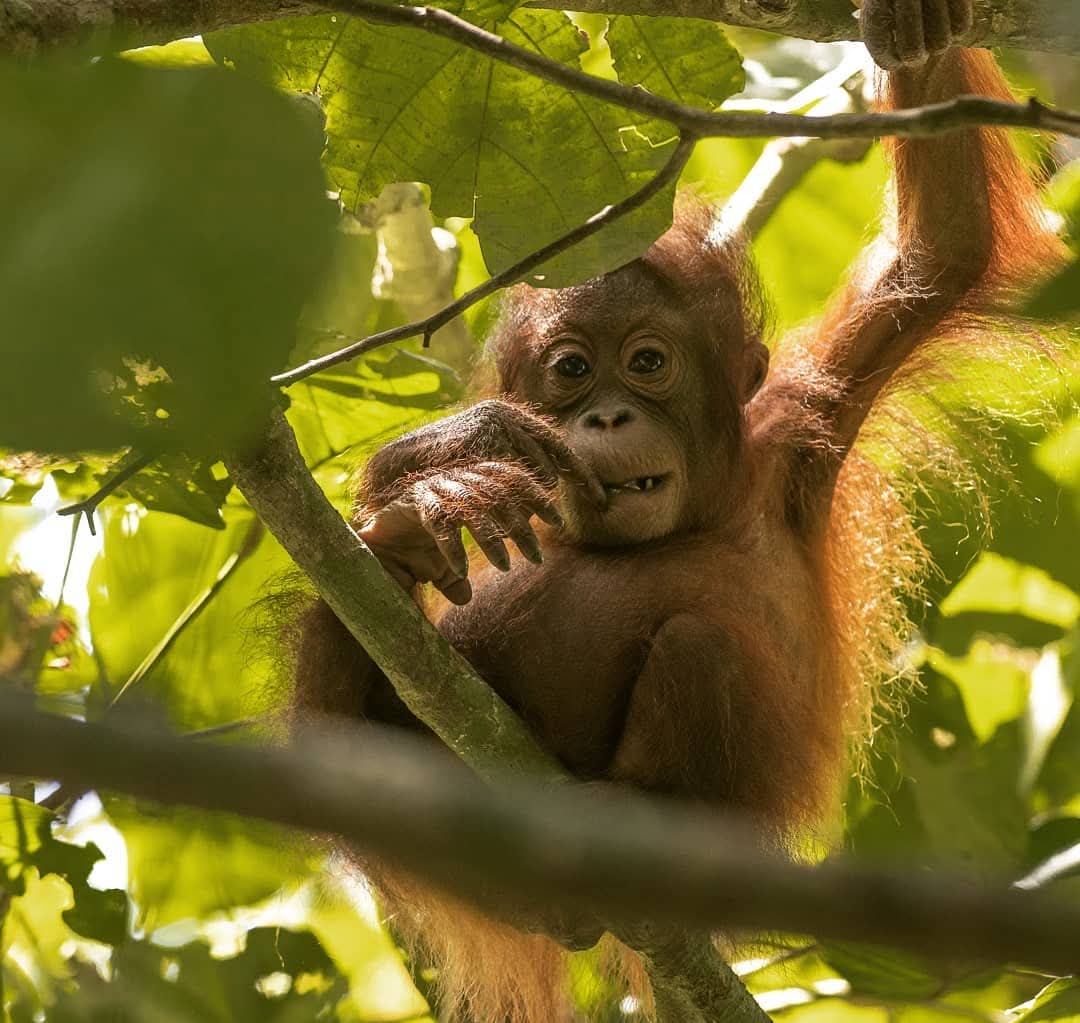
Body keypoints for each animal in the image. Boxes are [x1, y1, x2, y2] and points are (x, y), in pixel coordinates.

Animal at [290, 0, 1063, 1018]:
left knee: (700, 641)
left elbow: (945, 251)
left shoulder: (801, 429)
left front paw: (915, 32)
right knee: (335, 739)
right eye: (572, 370)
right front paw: (437, 474)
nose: (608, 415)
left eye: (647, 362)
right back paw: (404, 545)